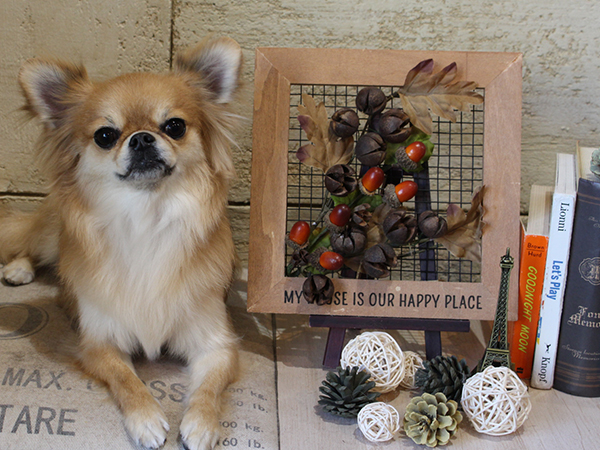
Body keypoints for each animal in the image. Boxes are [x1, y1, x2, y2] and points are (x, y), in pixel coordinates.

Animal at [0, 36, 243, 450]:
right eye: (105, 135)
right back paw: (18, 269)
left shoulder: (215, 343)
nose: (142, 137)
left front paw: (201, 423)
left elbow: (209, 388)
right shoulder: (100, 343)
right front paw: (145, 418)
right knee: (29, 245)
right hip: (51, 232)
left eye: (175, 126)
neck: (146, 216)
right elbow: (127, 380)